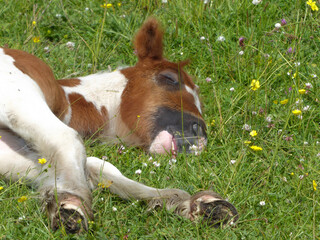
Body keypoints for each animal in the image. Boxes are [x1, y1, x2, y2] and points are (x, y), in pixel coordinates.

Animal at [0, 19, 238, 233]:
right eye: (169, 78)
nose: (200, 134)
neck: (66, 100)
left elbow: (97, 168)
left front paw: (198, 205)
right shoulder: (18, 99)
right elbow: (68, 141)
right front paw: (70, 206)